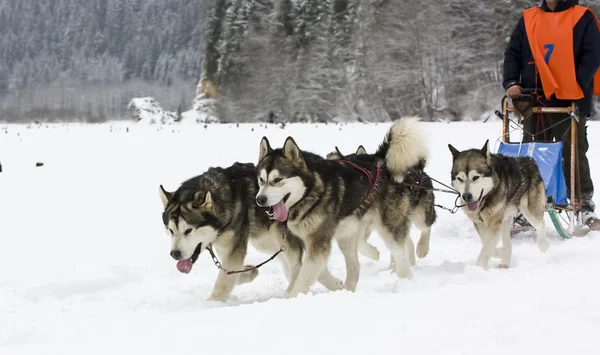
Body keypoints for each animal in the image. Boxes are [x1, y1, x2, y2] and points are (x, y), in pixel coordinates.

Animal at [159, 163, 344, 302]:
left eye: (189, 230)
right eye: (170, 230)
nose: (174, 254)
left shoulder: (233, 246)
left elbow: (224, 280)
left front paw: (212, 303)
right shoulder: (226, 245)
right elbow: (230, 273)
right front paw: (248, 272)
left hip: (279, 234)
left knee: (299, 263)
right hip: (265, 241)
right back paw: (334, 284)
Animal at [255, 117, 428, 298]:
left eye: (278, 179)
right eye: (261, 179)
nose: (260, 199)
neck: (310, 191)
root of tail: (380, 158)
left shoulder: (318, 240)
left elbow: (305, 274)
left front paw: (293, 296)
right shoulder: (308, 239)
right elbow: (313, 270)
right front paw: (335, 284)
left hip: (389, 227)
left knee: (401, 254)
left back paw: (406, 280)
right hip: (346, 235)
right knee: (355, 265)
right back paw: (349, 289)